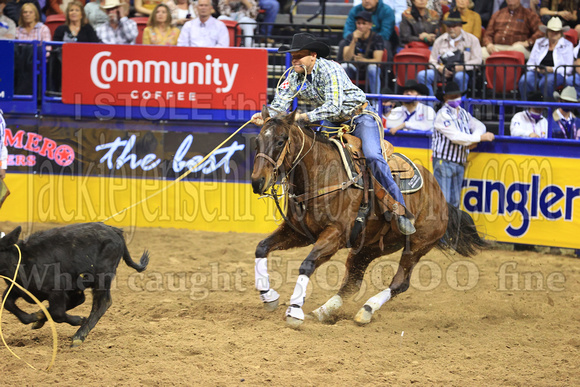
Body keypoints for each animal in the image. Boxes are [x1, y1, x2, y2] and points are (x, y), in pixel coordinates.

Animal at [249, 108, 484, 328]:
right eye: (257, 141)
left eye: (281, 141)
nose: (257, 182)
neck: (322, 174)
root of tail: (442, 197)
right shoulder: (298, 232)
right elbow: (261, 247)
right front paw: (268, 296)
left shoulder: (335, 234)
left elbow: (307, 264)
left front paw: (295, 311)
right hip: (370, 246)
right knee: (353, 280)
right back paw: (323, 311)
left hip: (418, 245)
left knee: (400, 283)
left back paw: (367, 309)